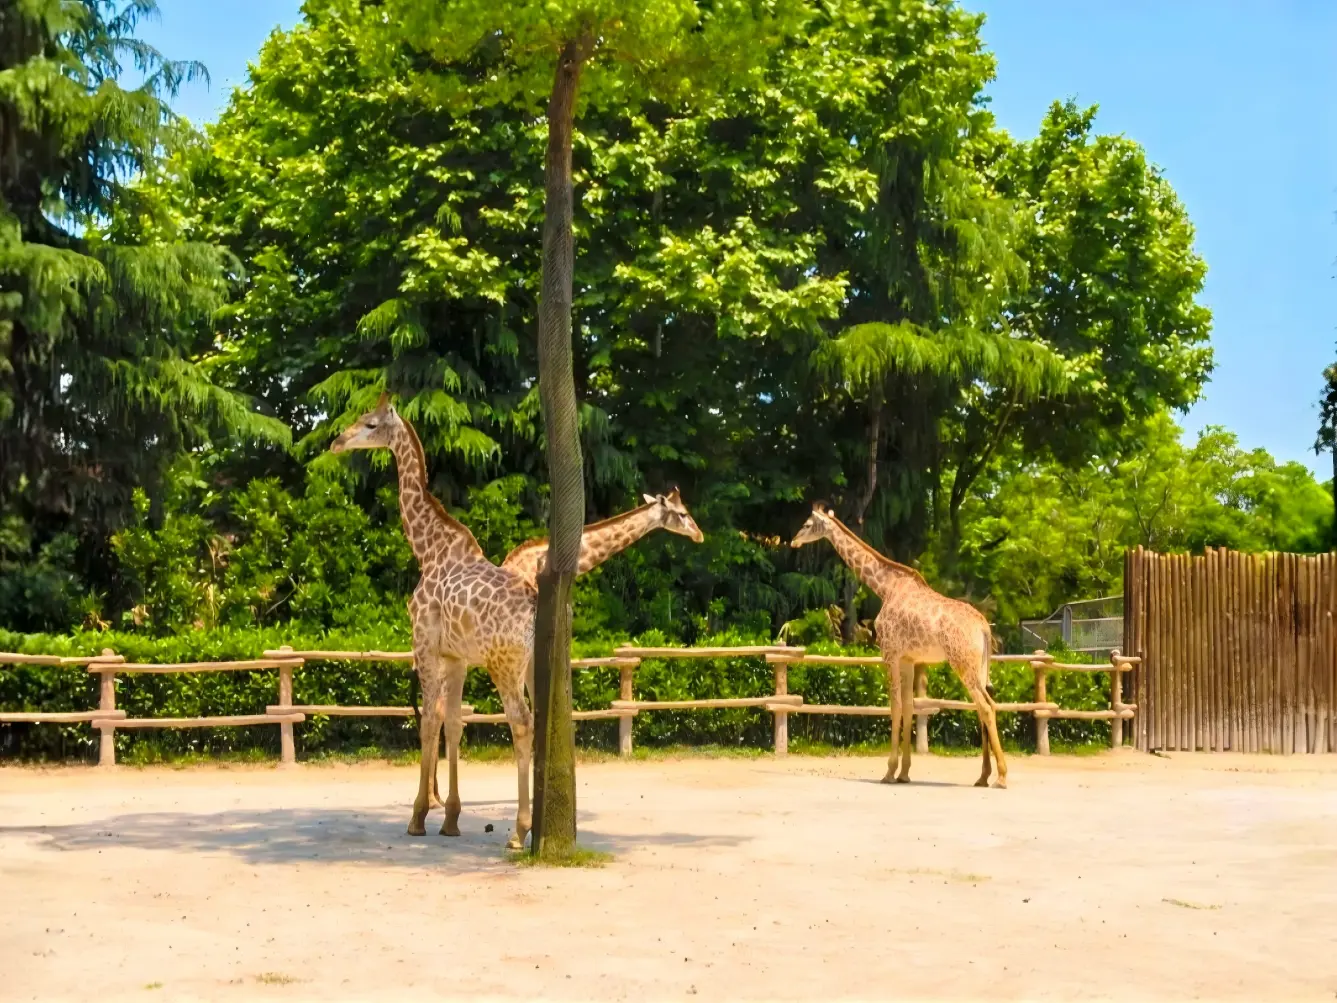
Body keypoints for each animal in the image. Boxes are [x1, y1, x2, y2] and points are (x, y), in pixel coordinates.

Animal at [330, 396, 538, 848]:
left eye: (370, 424)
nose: (337, 441)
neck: (428, 550)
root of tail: (535, 608)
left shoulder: (423, 645)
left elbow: (427, 723)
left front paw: (419, 816)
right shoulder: (455, 657)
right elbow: (454, 724)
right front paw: (452, 818)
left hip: (504, 665)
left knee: (521, 722)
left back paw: (520, 831)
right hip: (535, 666)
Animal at [790, 503, 1007, 788]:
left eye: (806, 524)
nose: (793, 541)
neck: (885, 588)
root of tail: (983, 627)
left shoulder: (889, 653)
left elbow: (894, 706)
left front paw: (889, 772)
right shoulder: (908, 659)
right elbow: (909, 706)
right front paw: (904, 772)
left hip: (962, 663)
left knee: (987, 707)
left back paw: (1001, 777)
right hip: (980, 666)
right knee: (983, 708)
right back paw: (982, 777)